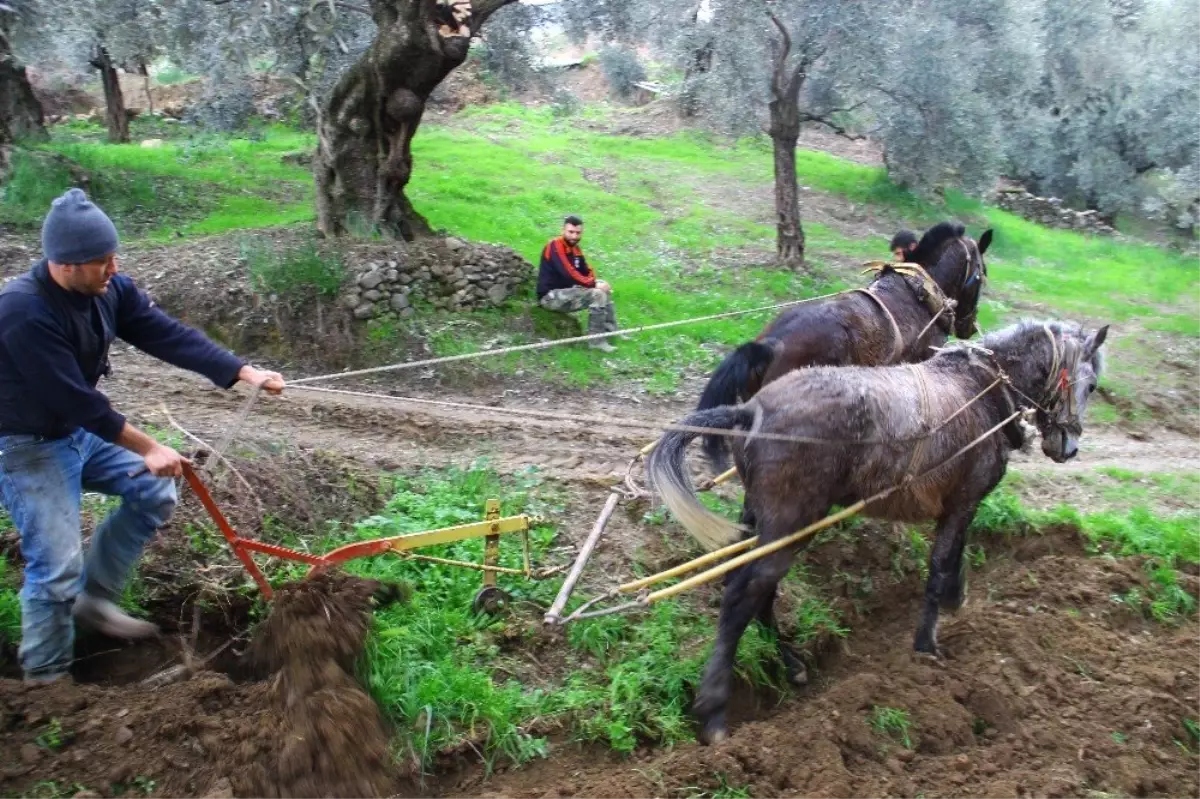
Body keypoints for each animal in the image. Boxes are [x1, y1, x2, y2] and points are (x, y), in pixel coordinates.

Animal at [652, 316, 1108, 739]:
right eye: (1091, 385)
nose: (1069, 448)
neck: (979, 388)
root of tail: (752, 411)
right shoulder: (964, 502)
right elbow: (940, 565)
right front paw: (927, 644)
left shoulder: (959, 505)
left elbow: (956, 556)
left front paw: (956, 601)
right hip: (793, 524)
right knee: (741, 597)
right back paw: (714, 710)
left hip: (764, 522)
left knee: (751, 589)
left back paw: (791, 664)